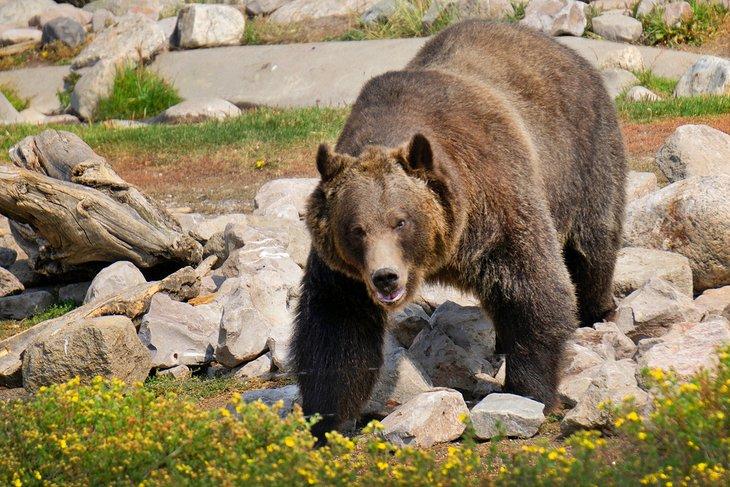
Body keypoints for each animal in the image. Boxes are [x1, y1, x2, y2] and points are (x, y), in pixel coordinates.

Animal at [293, 20, 626, 443]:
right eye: (356, 229)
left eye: (401, 221)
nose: (385, 277)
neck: (443, 252)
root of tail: (560, 47)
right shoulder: (344, 274)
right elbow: (336, 327)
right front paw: (325, 420)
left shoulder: (495, 205)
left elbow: (534, 287)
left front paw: (527, 392)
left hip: (582, 156)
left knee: (591, 246)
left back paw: (597, 310)